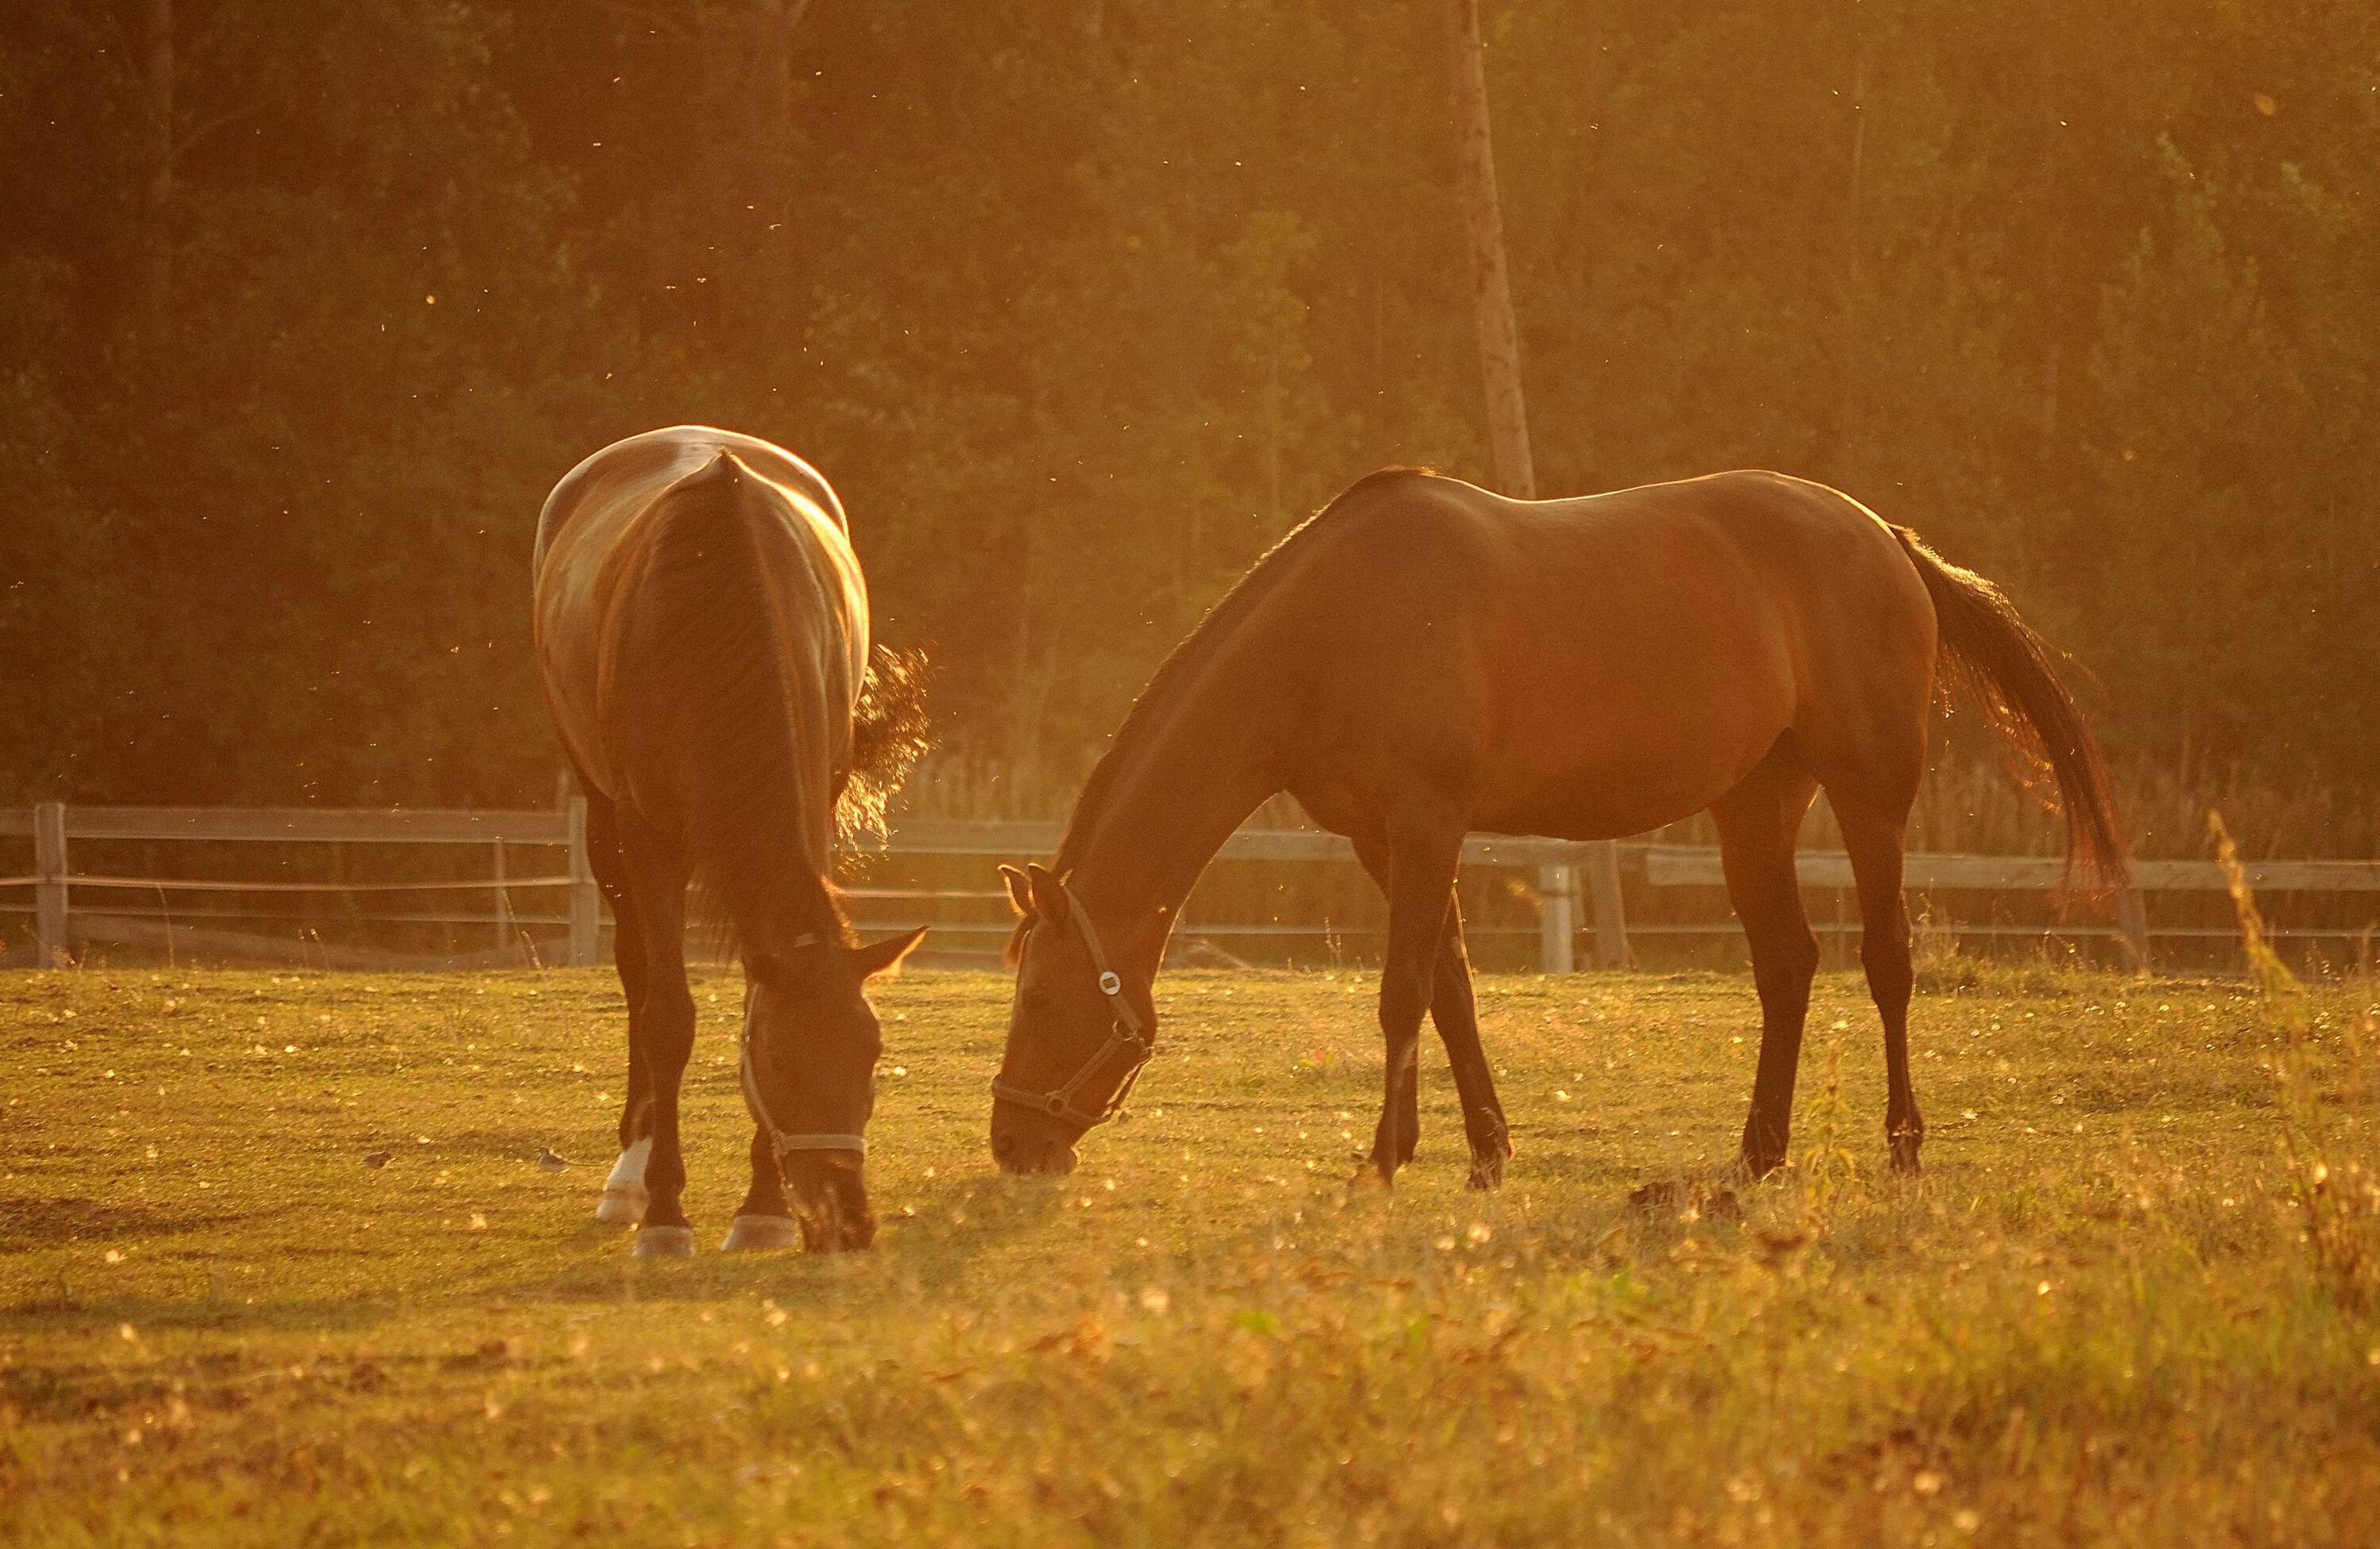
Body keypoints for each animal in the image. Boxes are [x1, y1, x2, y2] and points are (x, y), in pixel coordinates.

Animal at [540, 428, 928, 1256]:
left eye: (872, 1051)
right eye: (777, 1060)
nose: (846, 1219)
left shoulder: (815, 807)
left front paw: (763, 1207)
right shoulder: (647, 837)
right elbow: (667, 1016)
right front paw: (664, 1210)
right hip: (601, 820)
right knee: (635, 975)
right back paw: (630, 1170)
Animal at [985, 469, 2123, 1190]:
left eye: (1040, 997)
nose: (1010, 1143)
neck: (1336, 626)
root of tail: (1885, 539)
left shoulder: (1427, 822)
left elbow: (1403, 993)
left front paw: (1385, 1157)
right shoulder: (1380, 839)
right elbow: (1449, 988)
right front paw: (1486, 1152)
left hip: (1868, 794)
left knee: (1886, 962)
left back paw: (1902, 1143)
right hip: (1756, 801)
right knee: (1788, 965)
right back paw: (1757, 1153)